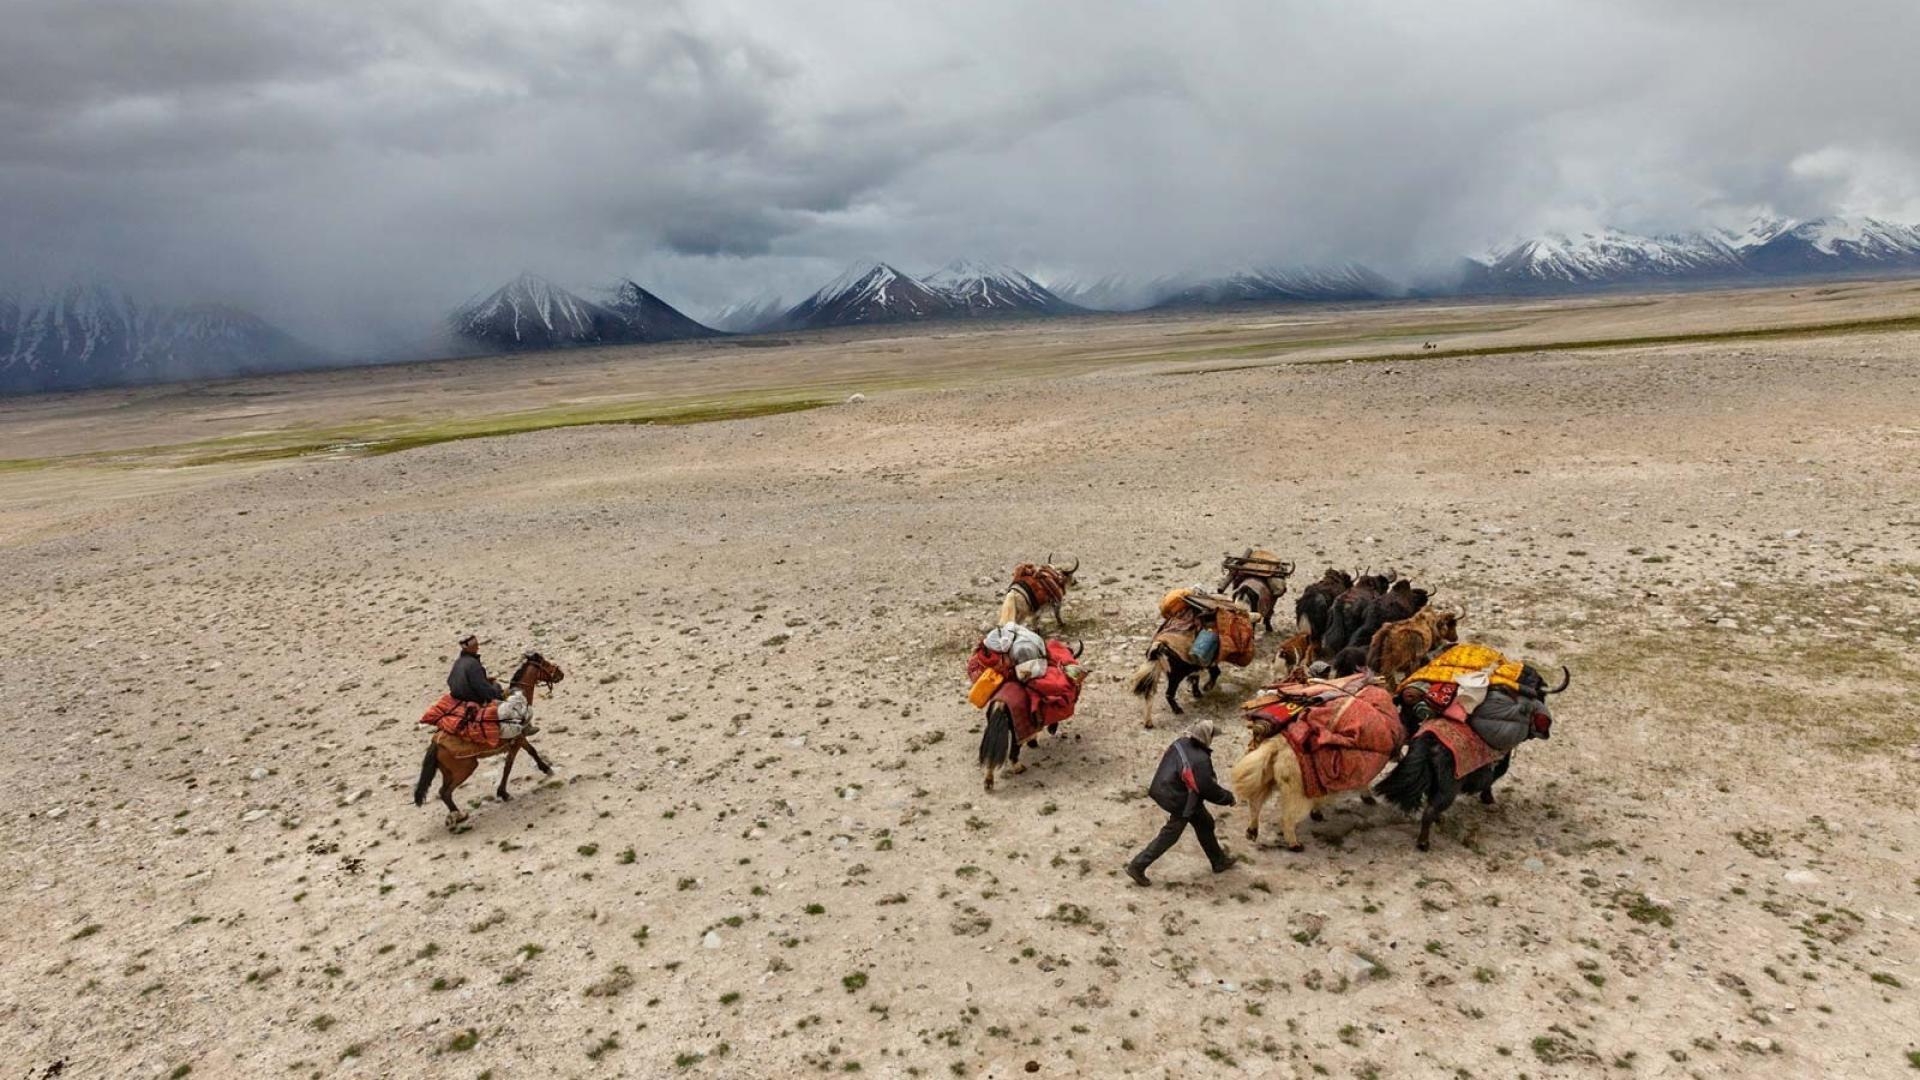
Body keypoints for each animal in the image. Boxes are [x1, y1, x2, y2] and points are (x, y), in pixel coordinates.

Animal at [412, 645, 560, 822]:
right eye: (545, 663)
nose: (560, 673)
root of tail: (436, 743)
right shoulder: (518, 739)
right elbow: (518, 759)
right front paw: (546, 769)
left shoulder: (517, 741)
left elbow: (514, 761)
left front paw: (503, 793)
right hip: (465, 768)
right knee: (445, 792)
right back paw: (460, 816)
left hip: (448, 771)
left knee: (443, 791)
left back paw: (456, 815)